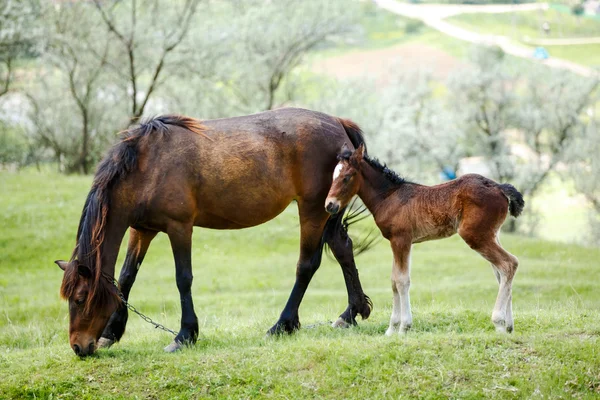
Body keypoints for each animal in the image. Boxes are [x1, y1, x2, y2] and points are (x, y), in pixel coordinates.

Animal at [326, 145, 524, 334]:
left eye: (347, 177)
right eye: (333, 176)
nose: (329, 205)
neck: (389, 197)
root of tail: (498, 187)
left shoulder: (401, 240)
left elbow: (402, 281)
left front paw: (403, 328)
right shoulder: (398, 242)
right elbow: (393, 281)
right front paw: (391, 330)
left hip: (475, 235)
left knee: (509, 263)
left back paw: (498, 322)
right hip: (492, 235)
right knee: (500, 272)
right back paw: (508, 325)